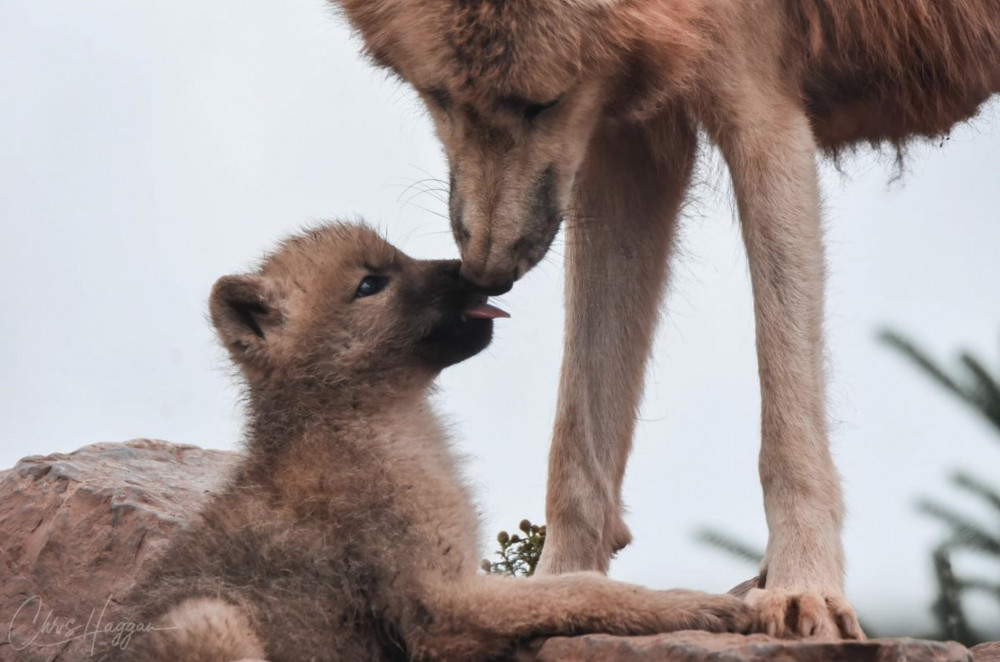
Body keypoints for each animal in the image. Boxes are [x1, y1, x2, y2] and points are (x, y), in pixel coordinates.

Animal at [334, 0, 1000, 644]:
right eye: (439, 95)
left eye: (543, 103)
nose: (486, 273)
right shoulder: (623, 134)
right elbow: (577, 434)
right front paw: (557, 594)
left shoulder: (762, 108)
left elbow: (787, 414)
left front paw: (801, 590)